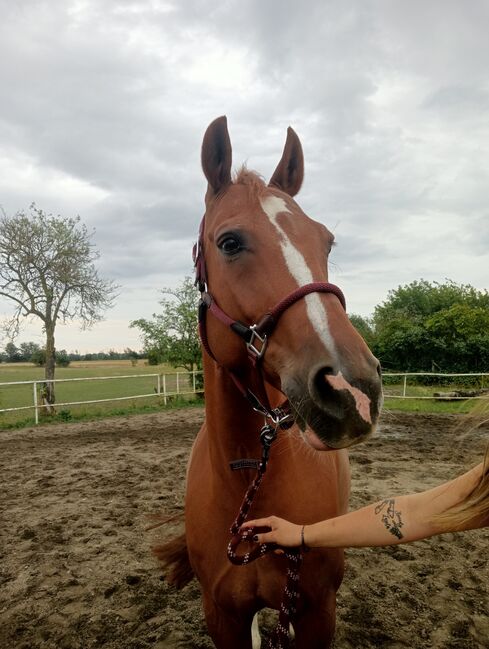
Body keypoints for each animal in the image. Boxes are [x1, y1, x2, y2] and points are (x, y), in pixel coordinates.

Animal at [155, 117, 382, 648]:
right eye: (229, 242)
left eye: (326, 242)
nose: (352, 391)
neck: (247, 482)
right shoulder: (223, 617)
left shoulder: (317, 611)